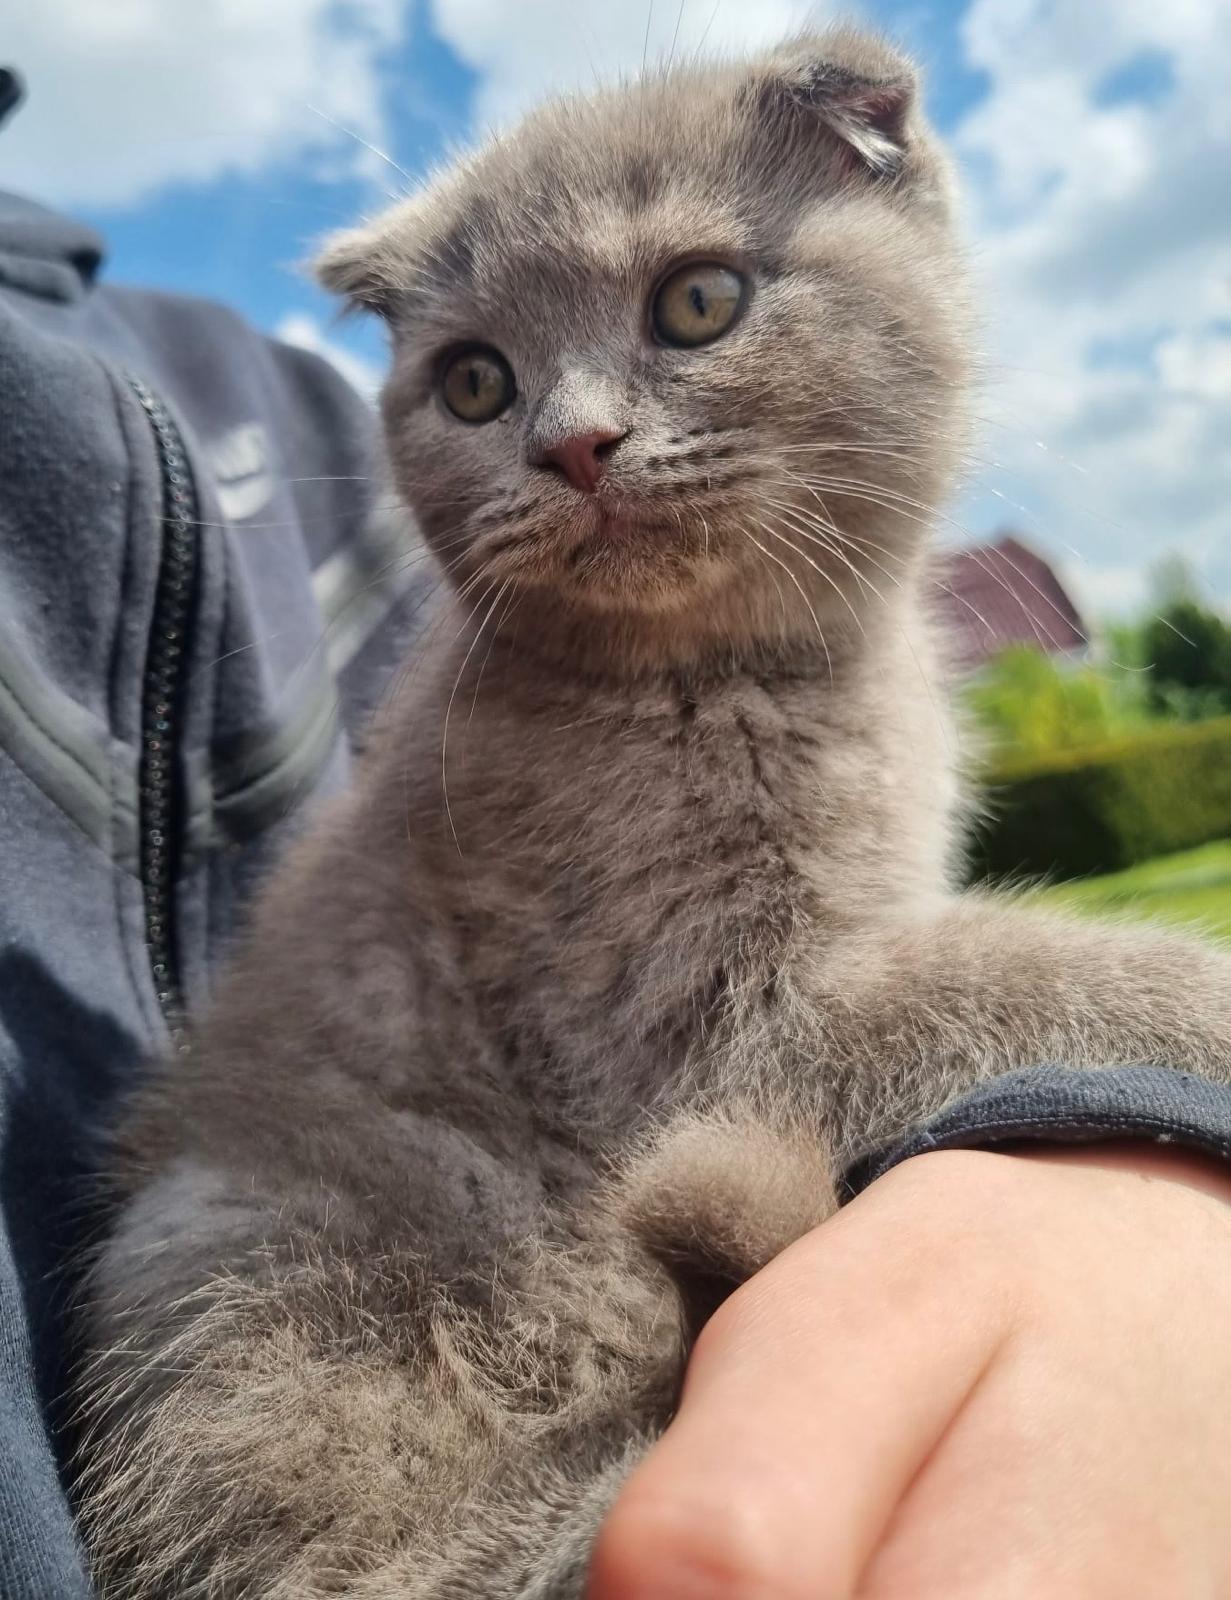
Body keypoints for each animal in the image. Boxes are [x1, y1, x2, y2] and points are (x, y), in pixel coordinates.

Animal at [74, 28, 1229, 1600]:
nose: (572, 443)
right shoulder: (680, 1030)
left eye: (697, 300)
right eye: (477, 382)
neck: (723, 684)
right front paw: (1204, 1002)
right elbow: (1019, 976)